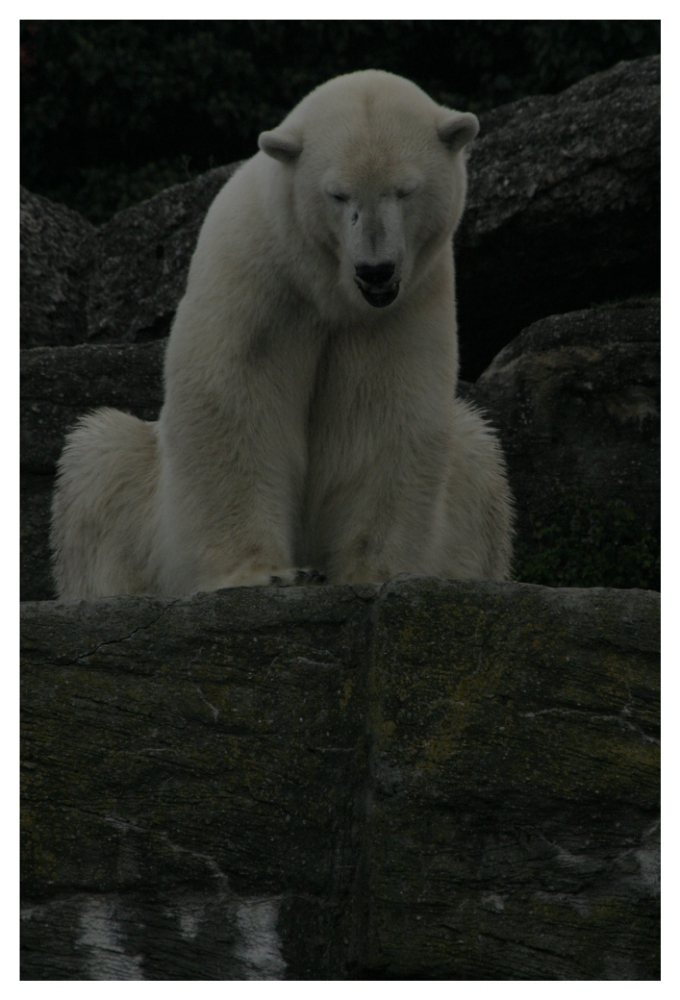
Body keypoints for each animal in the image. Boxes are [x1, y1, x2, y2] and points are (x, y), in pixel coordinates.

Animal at [50, 72, 512, 600]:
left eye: (405, 190)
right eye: (338, 194)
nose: (375, 269)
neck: (325, 286)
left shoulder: (408, 302)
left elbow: (386, 410)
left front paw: (369, 572)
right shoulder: (257, 278)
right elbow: (236, 400)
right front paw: (266, 573)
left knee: (478, 459)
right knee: (102, 460)